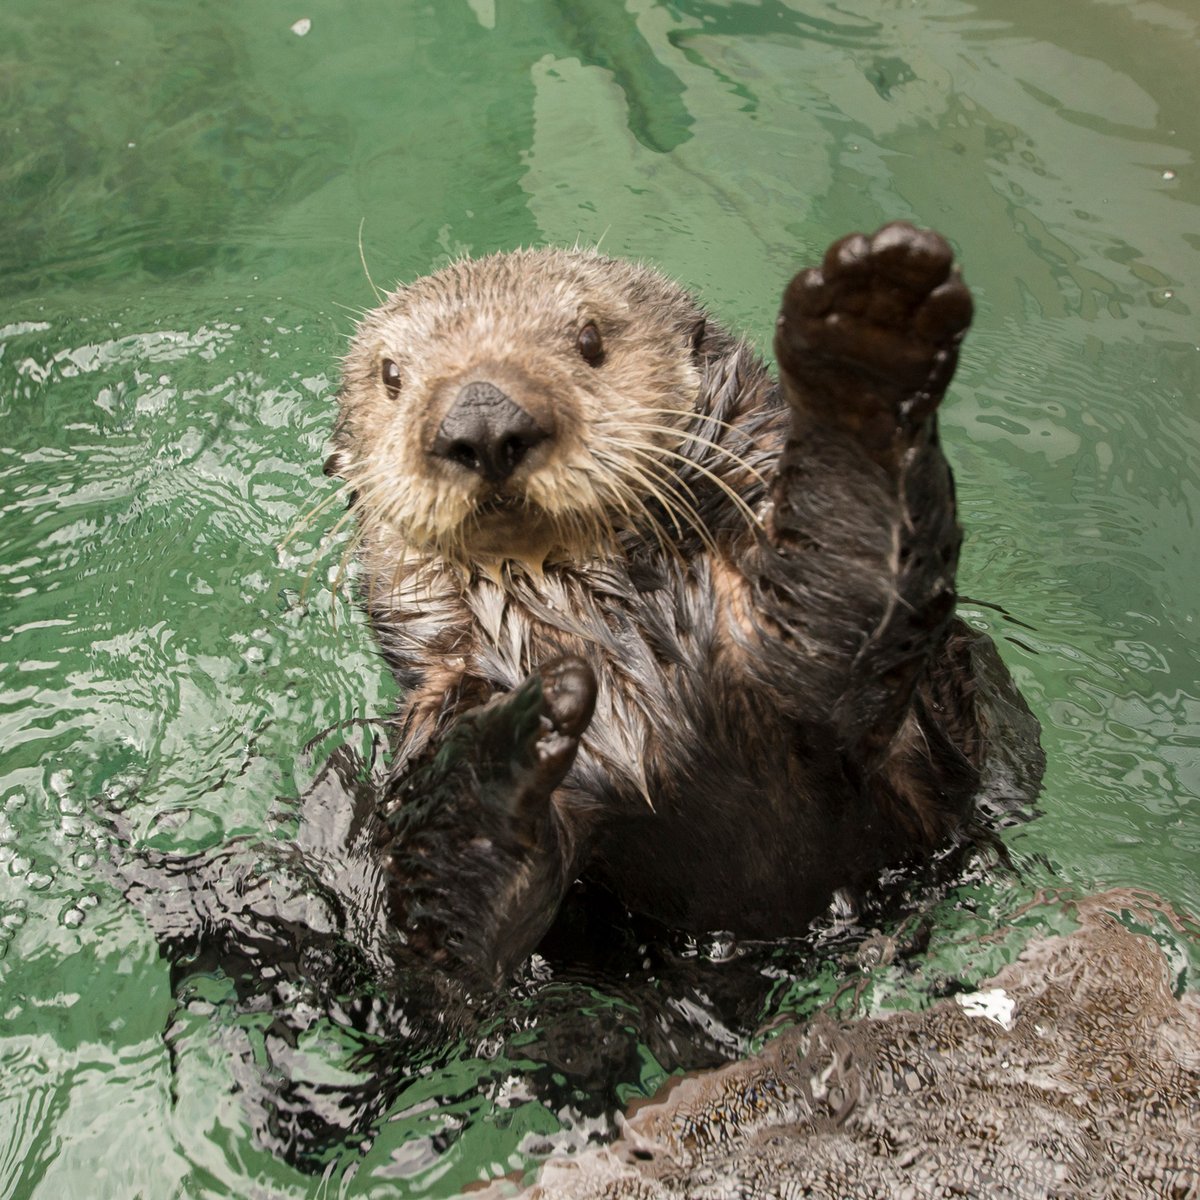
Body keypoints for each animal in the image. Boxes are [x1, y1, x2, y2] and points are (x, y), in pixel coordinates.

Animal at [324, 221, 1043, 987]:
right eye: (391, 376)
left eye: (590, 340)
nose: (482, 418)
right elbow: (458, 948)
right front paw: (501, 740)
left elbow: (849, 595)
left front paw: (872, 342)